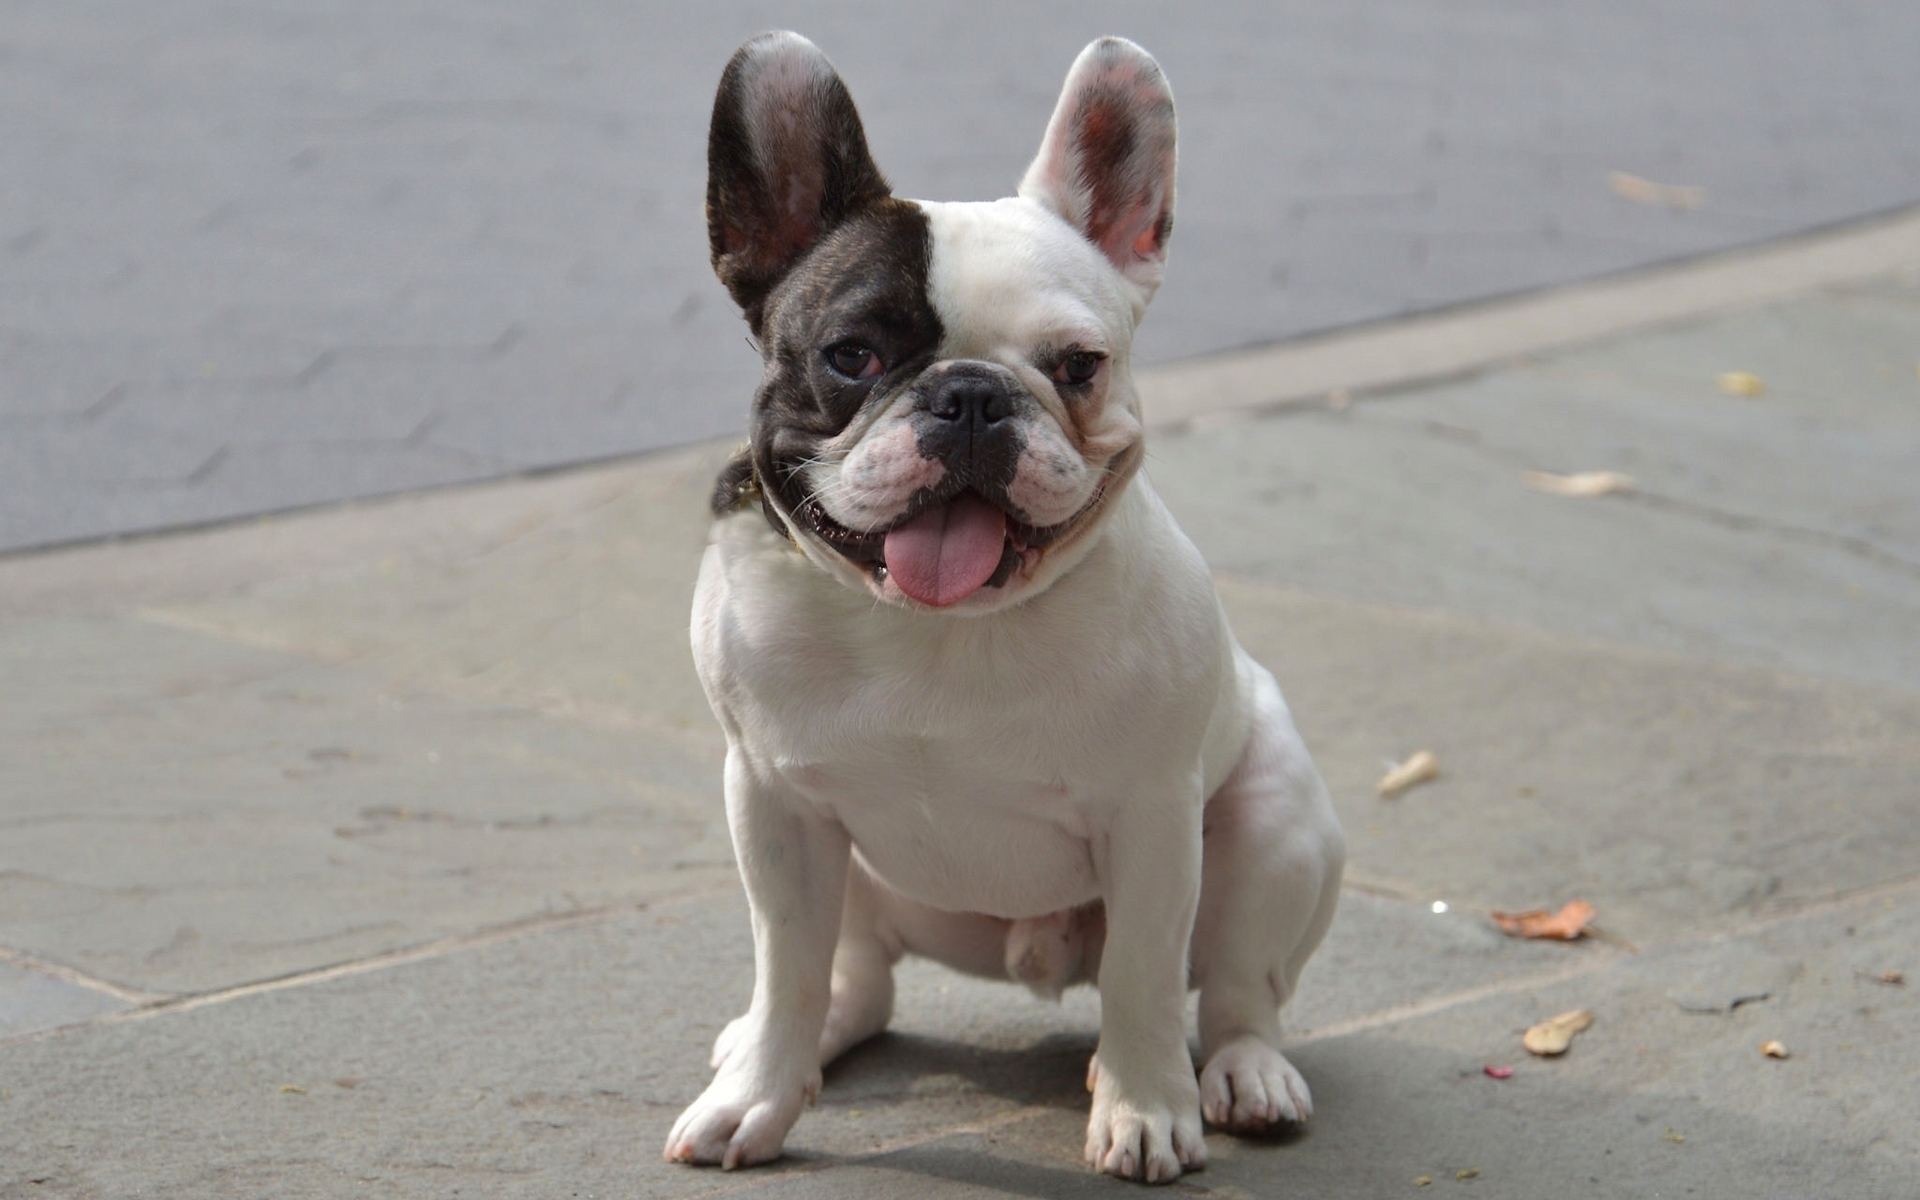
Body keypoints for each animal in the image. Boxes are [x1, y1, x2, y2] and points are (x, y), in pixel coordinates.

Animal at [664, 32, 1346, 1184]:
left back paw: (1243, 1076)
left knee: (1239, 988)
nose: (973, 394)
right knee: (850, 978)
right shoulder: (774, 803)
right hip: (858, 873)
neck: (942, 628)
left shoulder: (1154, 819)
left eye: (1078, 366)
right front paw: (754, 1097)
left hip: (1273, 825)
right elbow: (787, 959)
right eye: (853, 355)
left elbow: (1146, 976)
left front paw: (1144, 1110)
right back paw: (788, 1044)